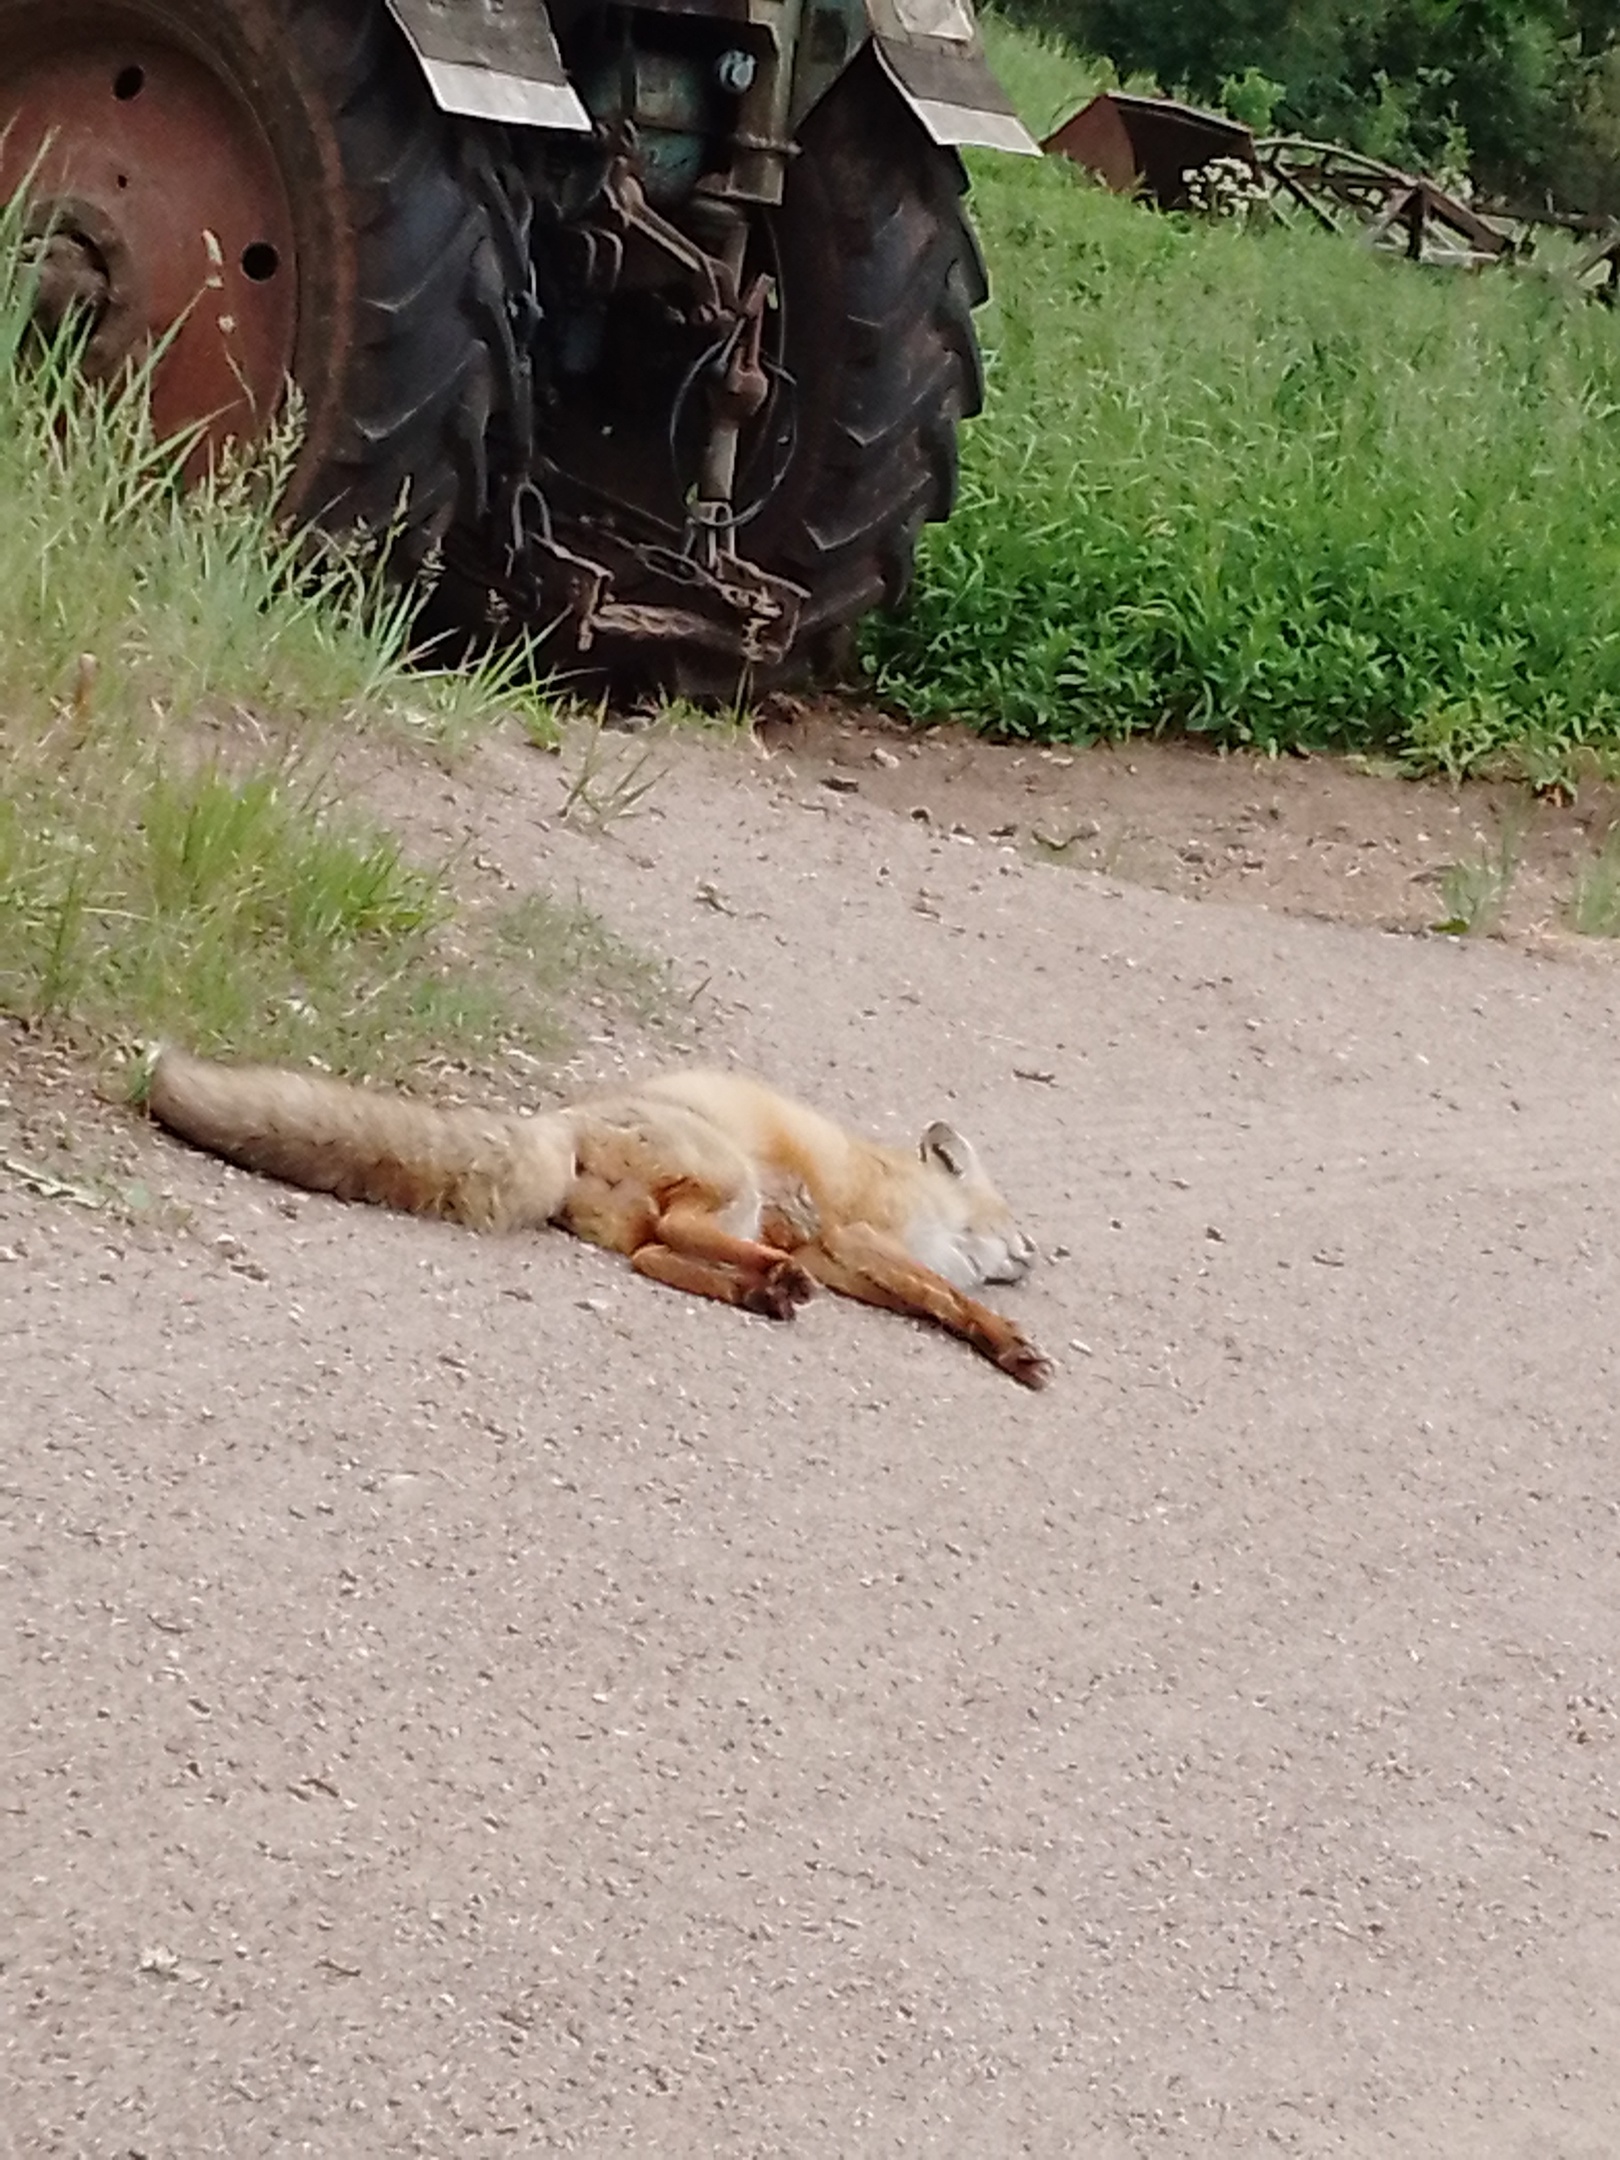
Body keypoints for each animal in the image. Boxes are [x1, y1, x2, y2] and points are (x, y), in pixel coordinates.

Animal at [144, 1048, 1052, 1388]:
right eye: (1016, 1219)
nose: (1039, 1253)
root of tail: (564, 1126)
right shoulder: (861, 1236)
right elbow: (947, 1291)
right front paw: (1006, 1337)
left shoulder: (853, 1260)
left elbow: (934, 1300)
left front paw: (998, 1340)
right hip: (734, 1184)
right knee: (671, 1242)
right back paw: (771, 1281)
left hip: (720, 1212)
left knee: (651, 1256)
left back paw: (763, 1290)